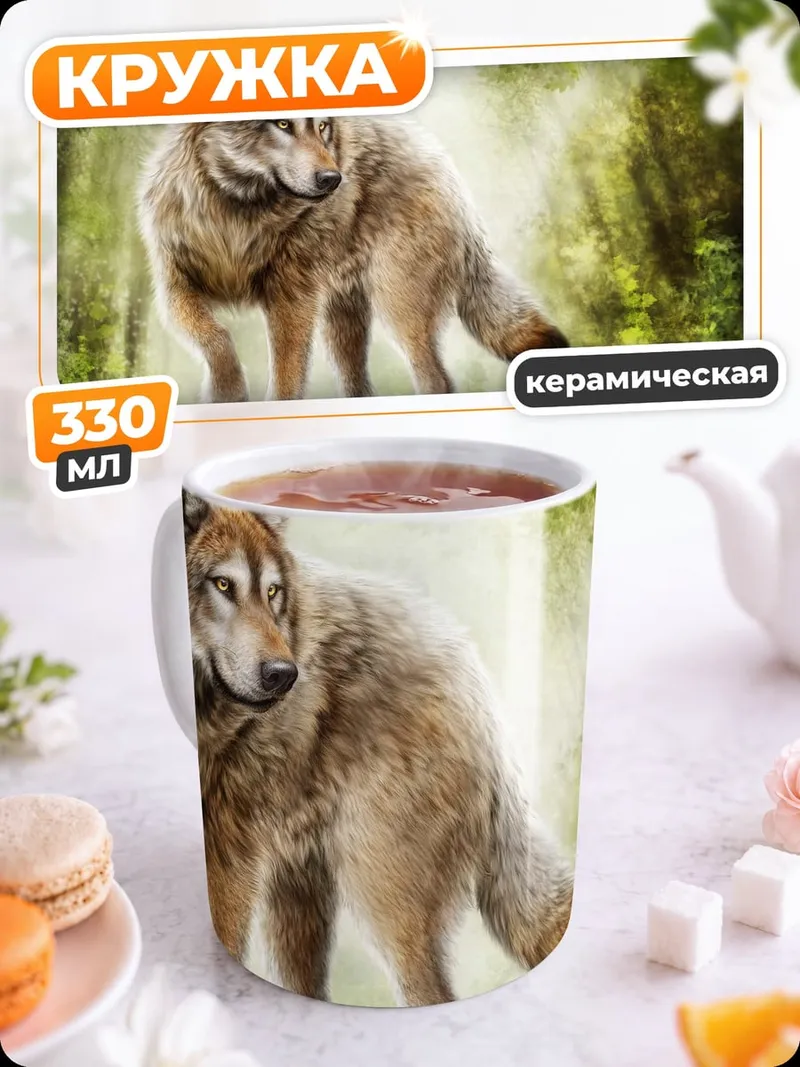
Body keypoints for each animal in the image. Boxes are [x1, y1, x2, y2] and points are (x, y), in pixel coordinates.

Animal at [139, 117, 568, 404]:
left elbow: (285, 382)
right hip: (342, 325)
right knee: (359, 386)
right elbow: (217, 338)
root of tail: (451, 178)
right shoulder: (174, 290)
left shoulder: (291, 302)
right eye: (282, 123)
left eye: (323, 126)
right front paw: (226, 393)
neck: (236, 214)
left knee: (437, 382)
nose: (333, 179)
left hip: (397, 312)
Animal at [183, 494, 574, 1006]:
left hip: (381, 901)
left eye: (272, 592)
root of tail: (481, 695)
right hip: (303, 893)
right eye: (223, 584)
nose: (283, 676)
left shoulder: (232, 860)